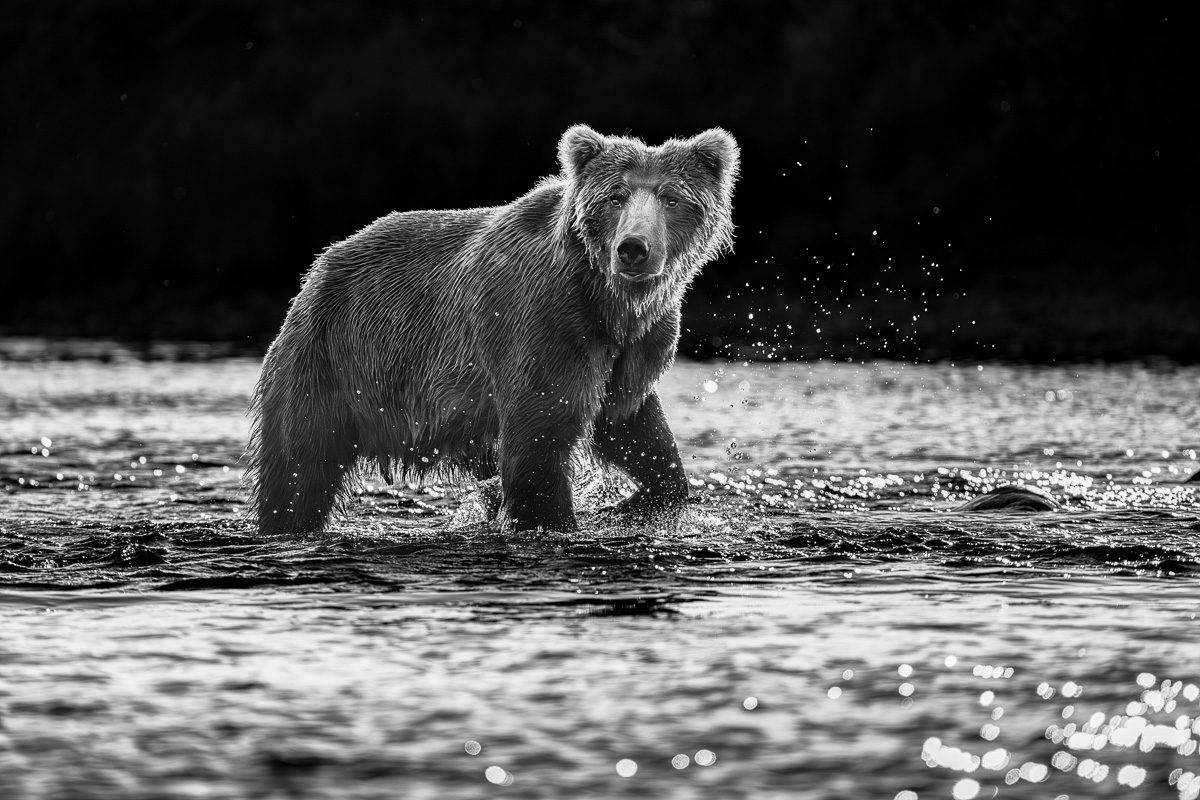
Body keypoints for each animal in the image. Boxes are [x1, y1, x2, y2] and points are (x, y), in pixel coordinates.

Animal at [247, 124, 739, 535]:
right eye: (615, 196)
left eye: (671, 198)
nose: (633, 248)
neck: (610, 301)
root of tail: (321, 265)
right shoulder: (545, 325)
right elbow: (538, 447)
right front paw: (557, 519)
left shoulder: (634, 347)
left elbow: (633, 429)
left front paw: (628, 503)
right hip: (331, 364)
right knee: (298, 470)